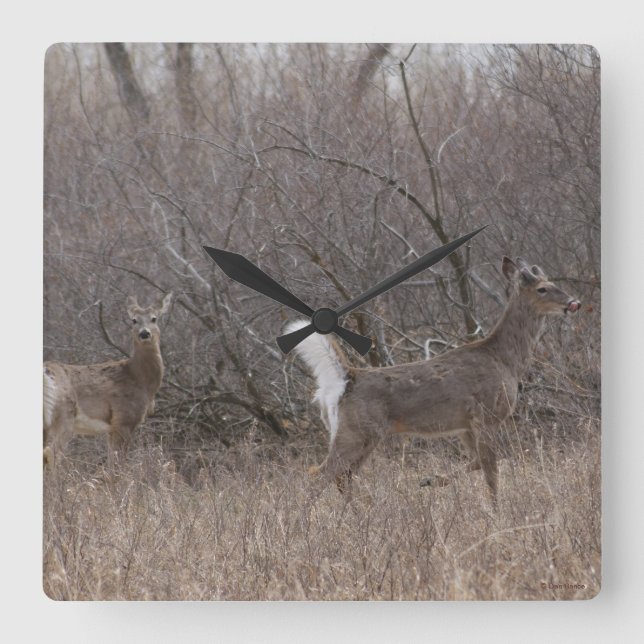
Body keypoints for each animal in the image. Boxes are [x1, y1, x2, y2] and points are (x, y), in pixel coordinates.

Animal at [43, 293, 172, 468]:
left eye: (154, 318)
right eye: (134, 320)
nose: (144, 333)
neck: (139, 378)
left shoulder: (112, 428)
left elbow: (112, 461)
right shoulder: (124, 419)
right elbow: (118, 464)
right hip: (64, 415)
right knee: (51, 454)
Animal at [286, 257, 580, 504]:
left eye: (554, 284)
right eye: (542, 289)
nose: (573, 303)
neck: (506, 359)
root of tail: (347, 378)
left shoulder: (464, 424)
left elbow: (477, 463)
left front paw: (429, 480)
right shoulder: (486, 415)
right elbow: (491, 472)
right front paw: (497, 512)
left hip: (362, 434)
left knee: (342, 476)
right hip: (356, 431)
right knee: (320, 474)